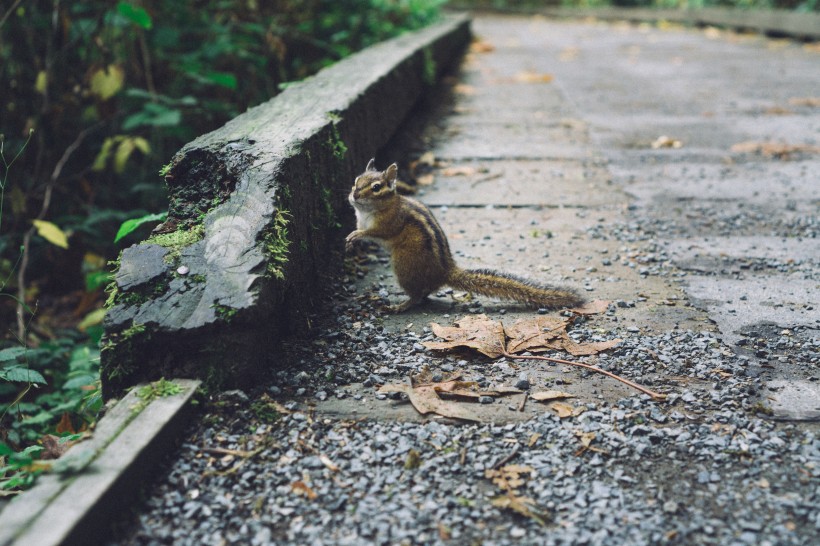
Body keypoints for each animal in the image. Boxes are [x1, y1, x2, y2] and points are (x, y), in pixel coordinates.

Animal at [346, 157, 584, 310]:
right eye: (355, 181)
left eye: (376, 187)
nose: (354, 195)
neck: (369, 211)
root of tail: (445, 271)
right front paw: (351, 239)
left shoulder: (391, 222)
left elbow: (377, 232)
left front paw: (356, 236)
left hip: (403, 265)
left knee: (419, 295)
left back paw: (400, 306)